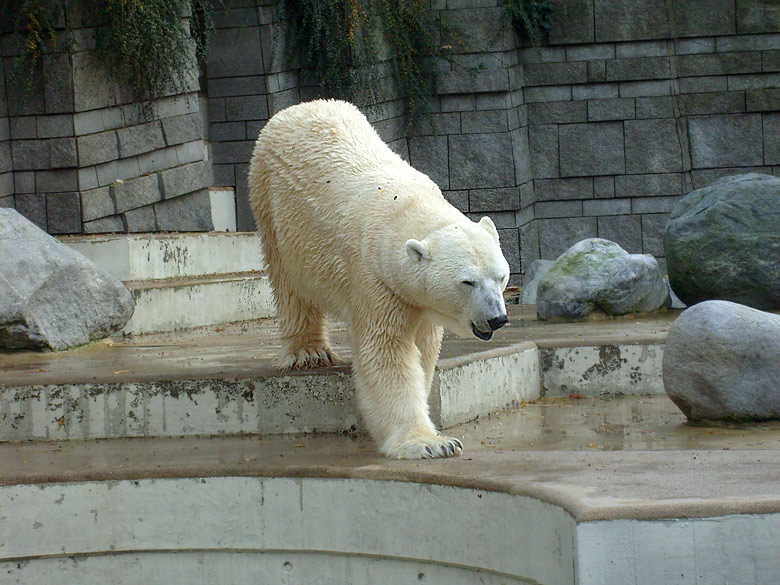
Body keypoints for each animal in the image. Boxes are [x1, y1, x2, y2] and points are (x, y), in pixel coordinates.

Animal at [247, 99, 508, 456]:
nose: (497, 318)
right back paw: (308, 351)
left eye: (501, 277)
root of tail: (298, 108)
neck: (405, 207)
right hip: (272, 206)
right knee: (289, 284)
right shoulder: (373, 278)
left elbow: (423, 348)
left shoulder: (414, 295)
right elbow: (387, 352)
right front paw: (430, 443)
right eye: (467, 282)